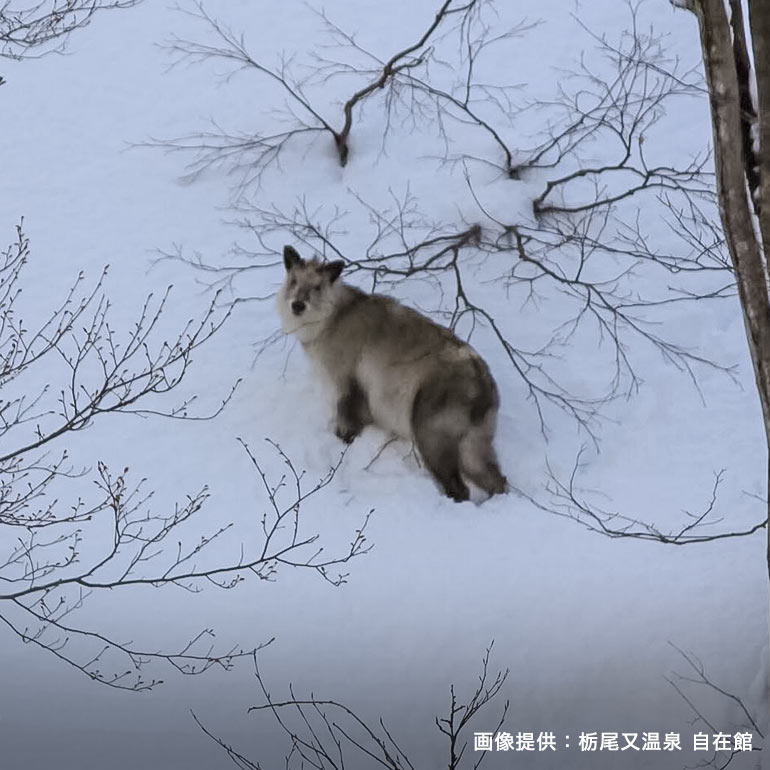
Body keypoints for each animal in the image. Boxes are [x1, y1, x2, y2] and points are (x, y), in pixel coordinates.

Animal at [276, 243, 504, 500]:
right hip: (474, 444)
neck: (331, 319)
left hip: (430, 435)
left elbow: (346, 426)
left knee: (460, 488)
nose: (297, 305)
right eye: (294, 281)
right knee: (497, 481)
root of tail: (483, 385)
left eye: (317, 287)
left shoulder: (349, 386)